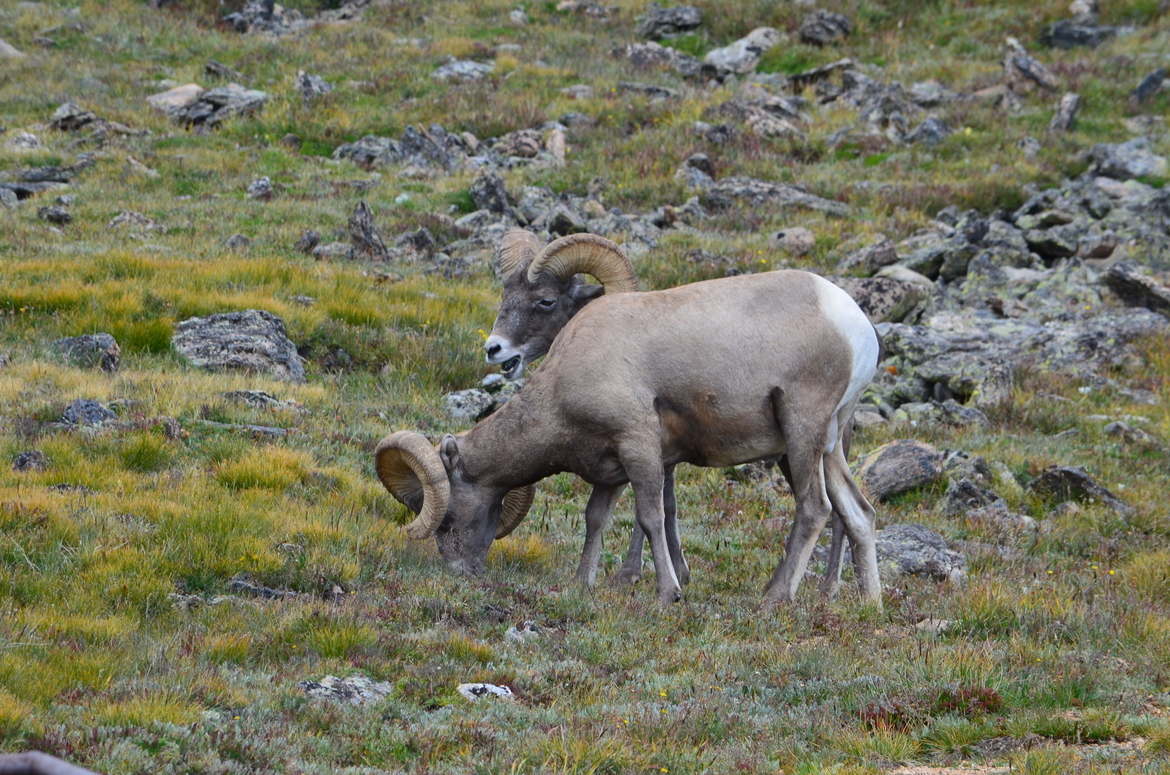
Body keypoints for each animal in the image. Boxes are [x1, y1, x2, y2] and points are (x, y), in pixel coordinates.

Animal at [376, 267, 882, 606]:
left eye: (445, 518)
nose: (459, 572)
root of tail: (855, 326)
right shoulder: (609, 469)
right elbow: (595, 518)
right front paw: (583, 584)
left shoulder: (639, 446)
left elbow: (651, 517)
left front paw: (667, 593)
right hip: (828, 445)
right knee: (858, 512)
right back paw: (868, 603)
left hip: (802, 434)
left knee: (814, 509)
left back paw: (775, 597)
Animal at [483, 230, 863, 595]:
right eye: (505, 294)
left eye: (545, 301)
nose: (493, 348)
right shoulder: (662, 451)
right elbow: (667, 507)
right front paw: (673, 571)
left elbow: (653, 509)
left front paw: (635, 575)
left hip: (803, 440)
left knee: (827, 511)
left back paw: (812, 590)